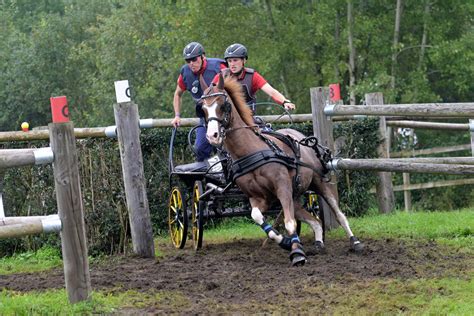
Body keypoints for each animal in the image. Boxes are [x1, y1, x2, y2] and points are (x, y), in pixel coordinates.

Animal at [200, 75, 362, 266]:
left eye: (222, 105)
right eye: (203, 109)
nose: (212, 136)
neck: (251, 152)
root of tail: (299, 136)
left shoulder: (282, 188)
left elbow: (289, 222)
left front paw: (297, 252)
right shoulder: (259, 198)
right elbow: (258, 217)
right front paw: (284, 242)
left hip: (317, 183)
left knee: (338, 214)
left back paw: (355, 242)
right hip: (294, 195)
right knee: (314, 221)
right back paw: (318, 242)